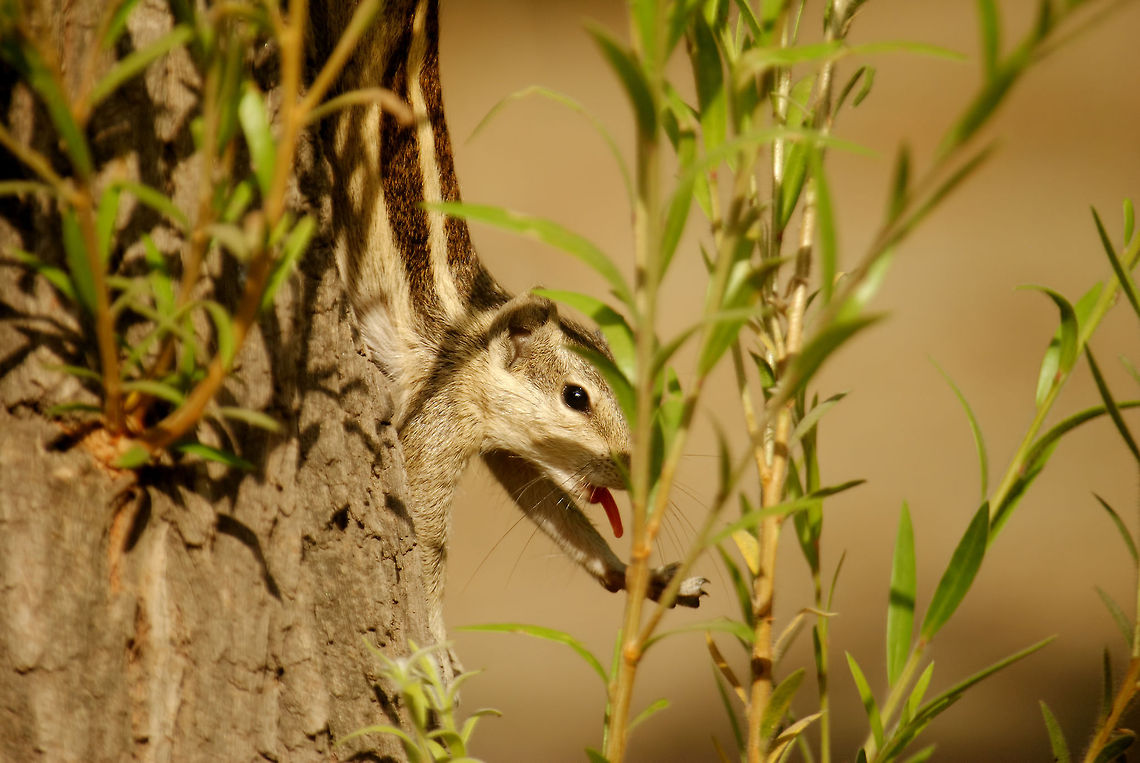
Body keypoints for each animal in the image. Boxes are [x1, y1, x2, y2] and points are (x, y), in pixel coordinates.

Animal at [319, 0, 708, 664]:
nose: (636, 473)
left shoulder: (510, 450)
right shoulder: (437, 424)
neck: (476, 336)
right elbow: (427, 542)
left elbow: (551, 510)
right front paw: (437, 648)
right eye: (575, 397)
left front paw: (641, 574)